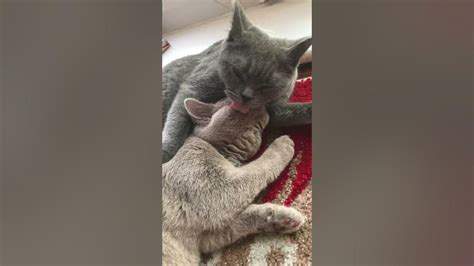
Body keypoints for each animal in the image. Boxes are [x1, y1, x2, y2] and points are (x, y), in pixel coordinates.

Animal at [161, 1, 312, 163]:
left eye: (266, 85)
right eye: (237, 72)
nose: (246, 96)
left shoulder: (272, 108)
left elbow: (295, 111)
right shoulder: (193, 86)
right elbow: (177, 118)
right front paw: (167, 152)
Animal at [162, 98, 304, 266]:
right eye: (234, 104)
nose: (262, 103)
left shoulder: (206, 236)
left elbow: (243, 218)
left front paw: (283, 219)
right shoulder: (217, 187)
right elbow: (258, 167)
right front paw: (282, 145)